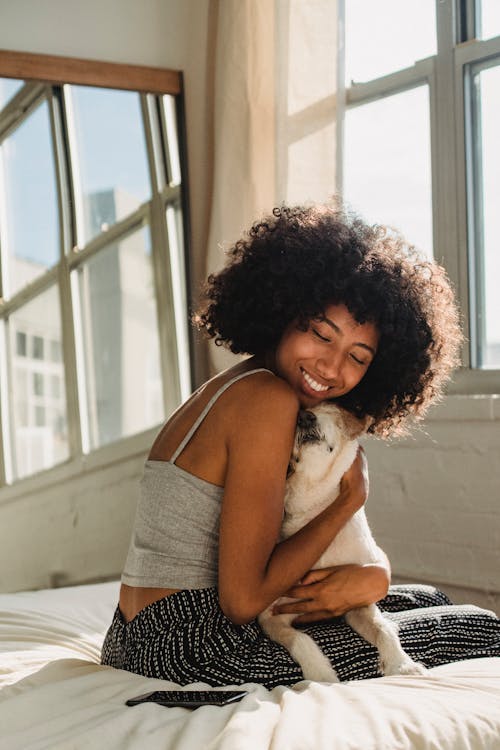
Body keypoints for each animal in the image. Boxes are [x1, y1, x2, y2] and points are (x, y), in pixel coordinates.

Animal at [258, 406, 426, 688]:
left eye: (334, 411)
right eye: (298, 412)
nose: (305, 417)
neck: (317, 508)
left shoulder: (358, 602)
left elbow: (383, 628)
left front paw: (401, 665)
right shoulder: (271, 615)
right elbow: (301, 639)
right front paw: (321, 675)